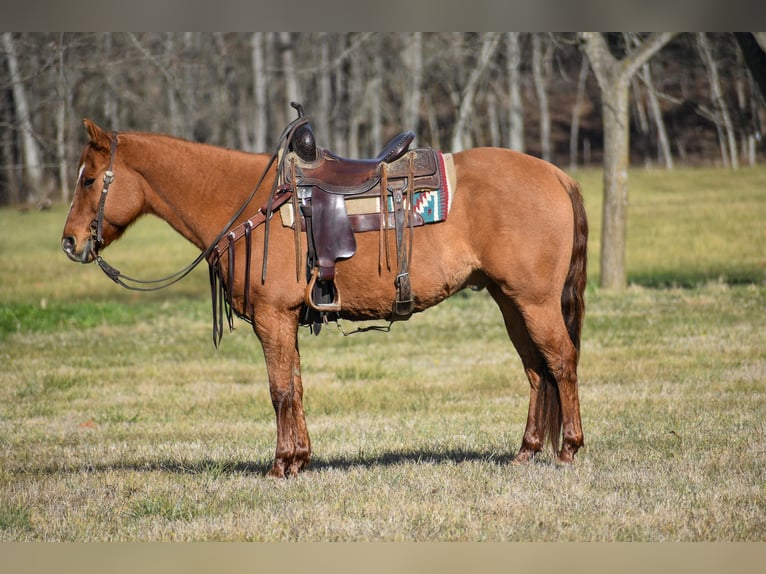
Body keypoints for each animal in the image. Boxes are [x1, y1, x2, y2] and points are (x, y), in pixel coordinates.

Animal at [61, 115, 588, 480]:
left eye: (88, 179)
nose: (70, 242)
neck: (249, 203)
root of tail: (557, 175)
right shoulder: (285, 320)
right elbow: (295, 385)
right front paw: (299, 459)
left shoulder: (272, 317)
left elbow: (278, 389)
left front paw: (280, 464)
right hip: (510, 301)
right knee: (536, 371)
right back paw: (526, 452)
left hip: (534, 301)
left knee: (561, 362)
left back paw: (569, 449)